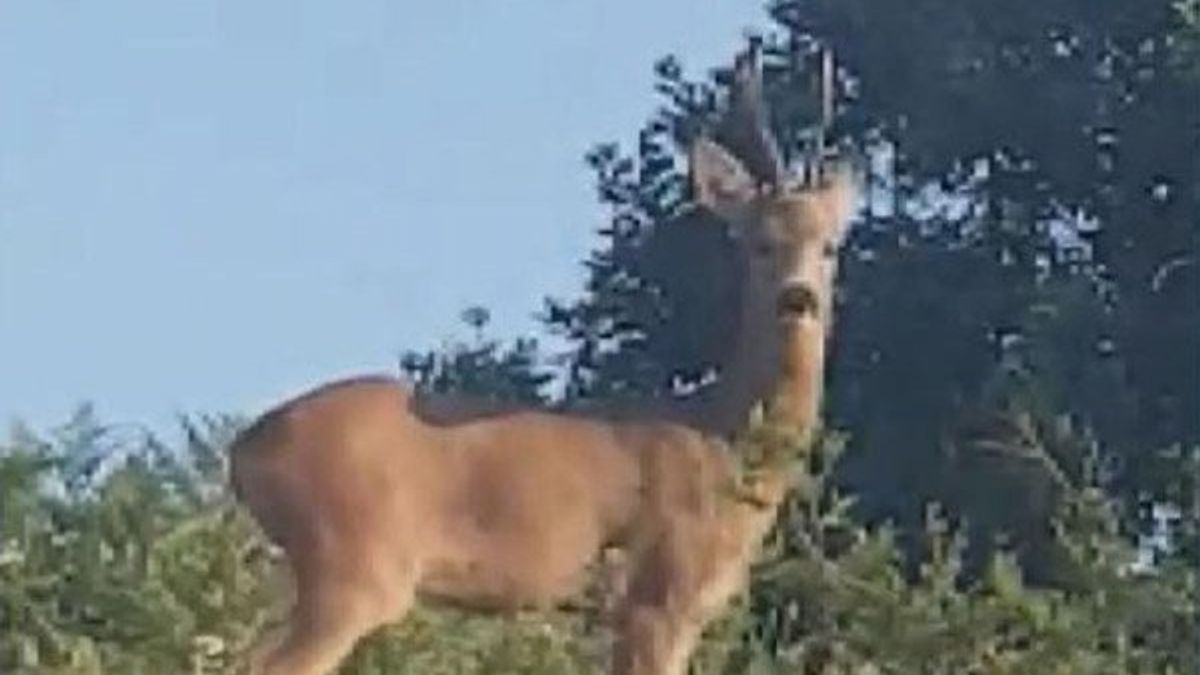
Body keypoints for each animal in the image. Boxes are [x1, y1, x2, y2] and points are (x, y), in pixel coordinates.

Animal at [231, 47, 854, 672]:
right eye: (760, 242)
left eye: (829, 245)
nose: (798, 298)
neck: (724, 442)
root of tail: (246, 449)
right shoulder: (658, 594)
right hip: (353, 559)